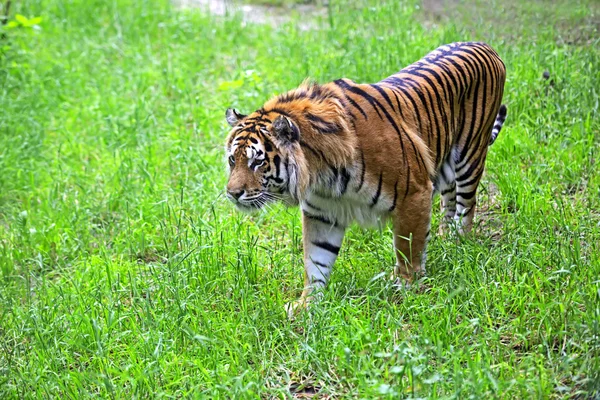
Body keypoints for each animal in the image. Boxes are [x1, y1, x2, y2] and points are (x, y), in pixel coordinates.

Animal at [224, 41, 506, 316]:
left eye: (257, 161)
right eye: (232, 160)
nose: (232, 193)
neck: (322, 172)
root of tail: (486, 46)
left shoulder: (414, 193)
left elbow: (407, 246)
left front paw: (407, 286)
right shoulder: (321, 212)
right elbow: (316, 260)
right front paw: (308, 304)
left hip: (470, 155)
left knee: (467, 203)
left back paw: (459, 240)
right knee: (449, 197)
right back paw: (446, 237)